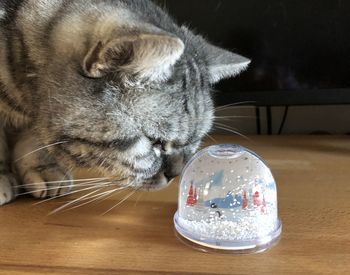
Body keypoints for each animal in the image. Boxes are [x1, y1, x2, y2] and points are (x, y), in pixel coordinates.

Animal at [0, 0, 252, 206]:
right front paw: (4, 177)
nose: (176, 174)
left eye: (195, 141)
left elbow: (33, 140)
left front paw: (43, 168)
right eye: (155, 142)